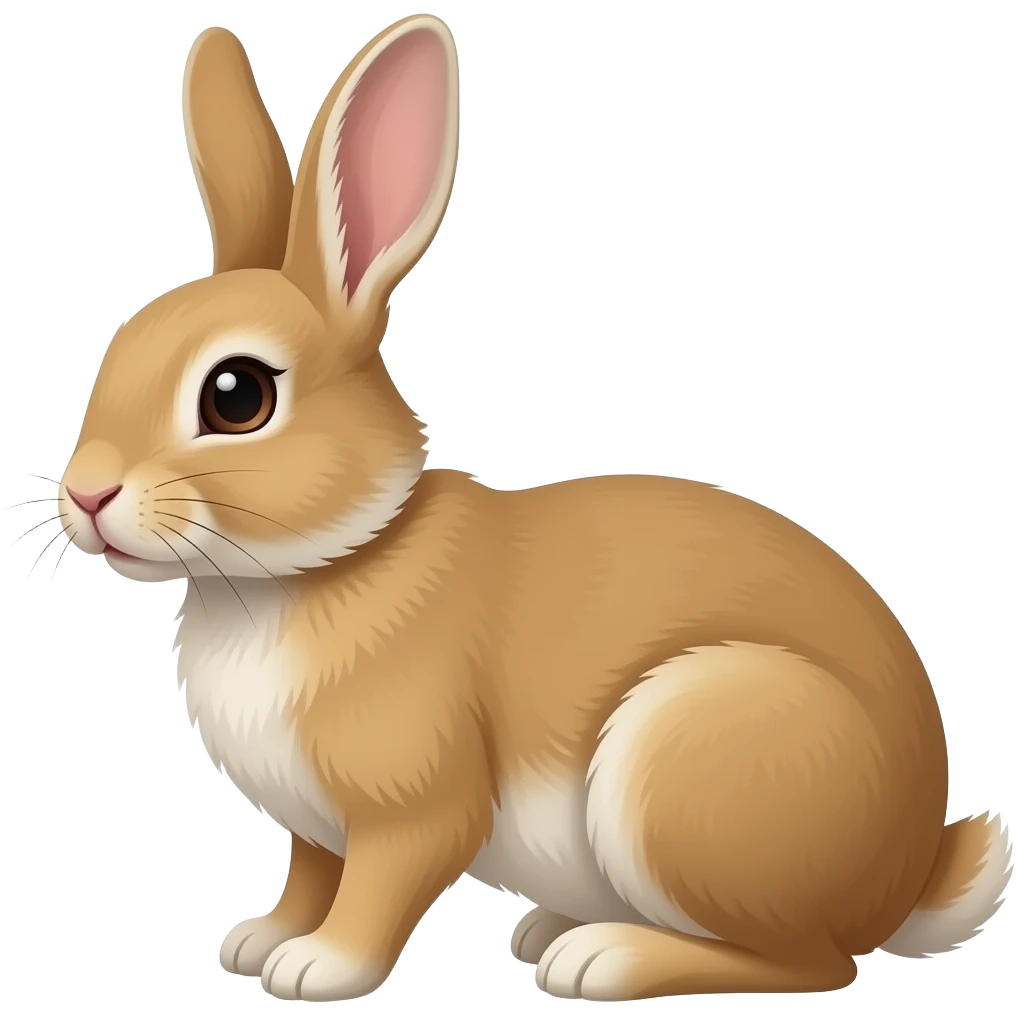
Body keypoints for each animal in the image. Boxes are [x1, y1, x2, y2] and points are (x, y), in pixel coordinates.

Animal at [46, 15, 1012, 1003]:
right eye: (117, 346)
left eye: (237, 396)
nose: (86, 493)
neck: (310, 568)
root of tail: (907, 875)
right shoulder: (315, 828)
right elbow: (310, 875)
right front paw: (257, 942)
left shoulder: (414, 805)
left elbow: (380, 887)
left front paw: (317, 968)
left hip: (688, 765)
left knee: (812, 962)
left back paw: (604, 957)